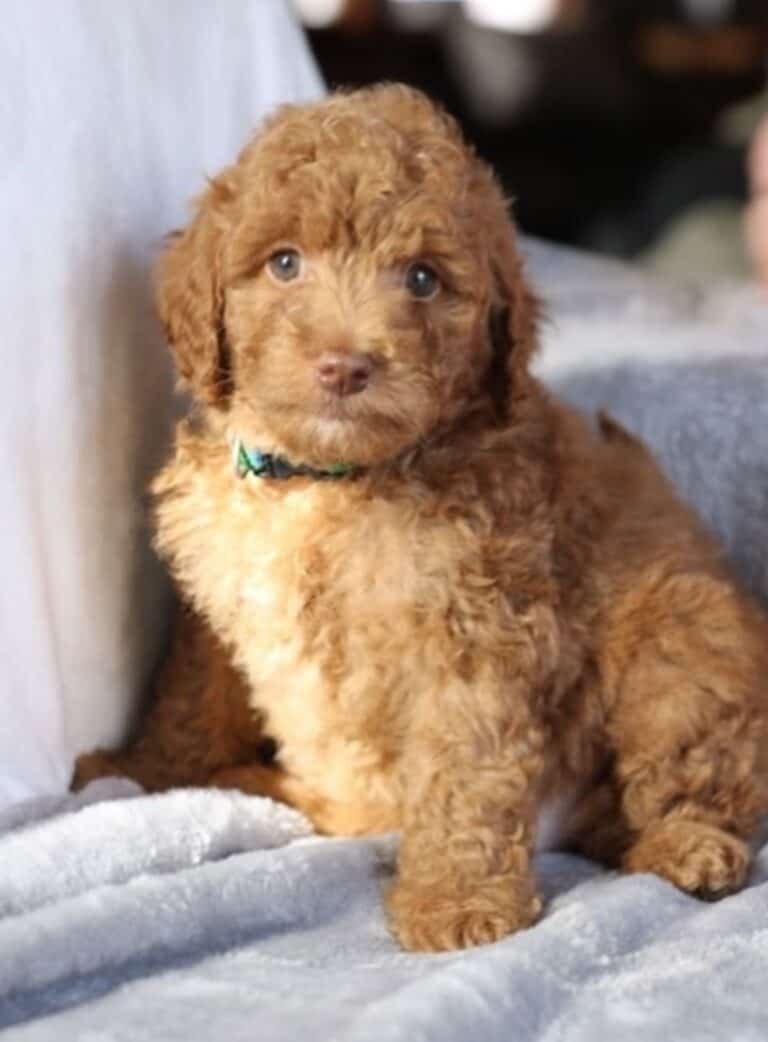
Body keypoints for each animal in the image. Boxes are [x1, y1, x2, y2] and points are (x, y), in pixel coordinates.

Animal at [75, 85, 766, 954]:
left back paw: (687, 848)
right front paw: (149, 771)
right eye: (284, 262)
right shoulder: (216, 604)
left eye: (424, 279)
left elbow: (464, 766)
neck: (327, 485)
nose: (344, 366)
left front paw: (457, 903)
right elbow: (189, 699)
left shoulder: (472, 628)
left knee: (685, 764)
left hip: (681, 640)